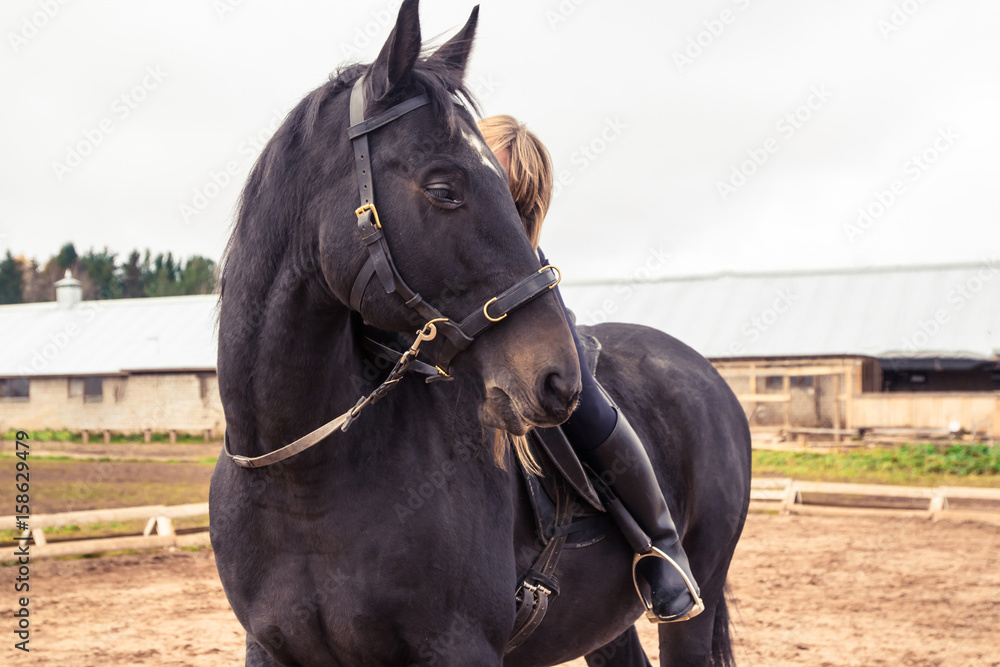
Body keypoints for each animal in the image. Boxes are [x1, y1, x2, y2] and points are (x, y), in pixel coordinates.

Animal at [209, 1, 751, 665]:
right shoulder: (268, 648)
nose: (557, 379)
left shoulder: (459, 646)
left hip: (693, 608)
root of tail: (709, 377)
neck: (300, 478)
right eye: (444, 189)